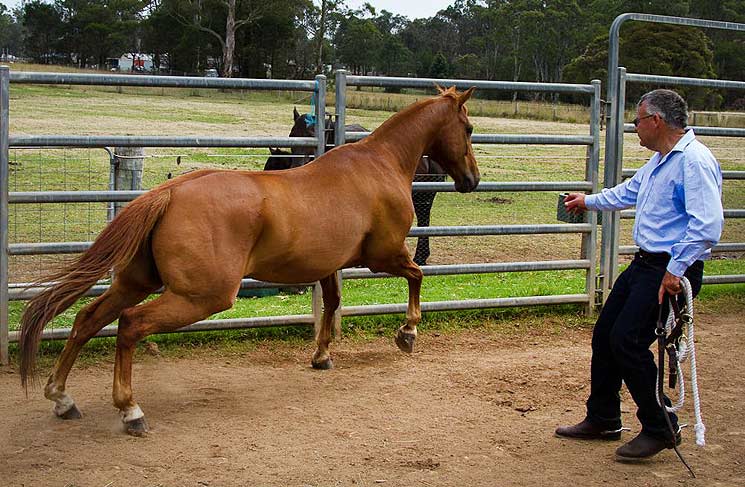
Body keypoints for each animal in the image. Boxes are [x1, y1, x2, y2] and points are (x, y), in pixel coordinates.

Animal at [264, 107, 444, 266]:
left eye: (311, 134)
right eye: (292, 135)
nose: (297, 164)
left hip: (426, 196)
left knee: (424, 220)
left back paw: (420, 257)